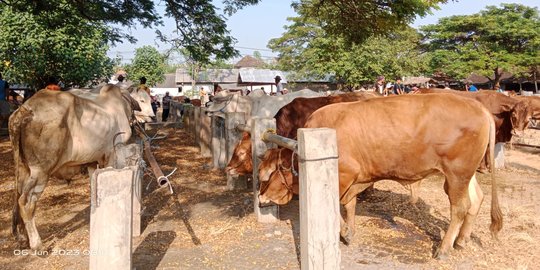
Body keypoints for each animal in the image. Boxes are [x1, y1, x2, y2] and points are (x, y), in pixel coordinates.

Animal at [9, 84, 142, 249]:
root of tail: (25, 110)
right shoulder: (112, 154)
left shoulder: (93, 161)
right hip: (41, 171)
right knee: (25, 202)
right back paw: (37, 244)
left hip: (23, 168)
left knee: (18, 197)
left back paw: (23, 239)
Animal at [258, 94, 502, 258]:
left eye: (267, 174)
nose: (260, 198)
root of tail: (479, 107)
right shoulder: (354, 181)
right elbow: (349, 205)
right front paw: (349, 231)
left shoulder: (343, 176)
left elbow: (337, 206)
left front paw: (344, 231)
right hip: (465, 175)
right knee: (476, 200)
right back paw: (461, 240)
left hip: (456, 174)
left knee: (460, 207)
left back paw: (444, 249)